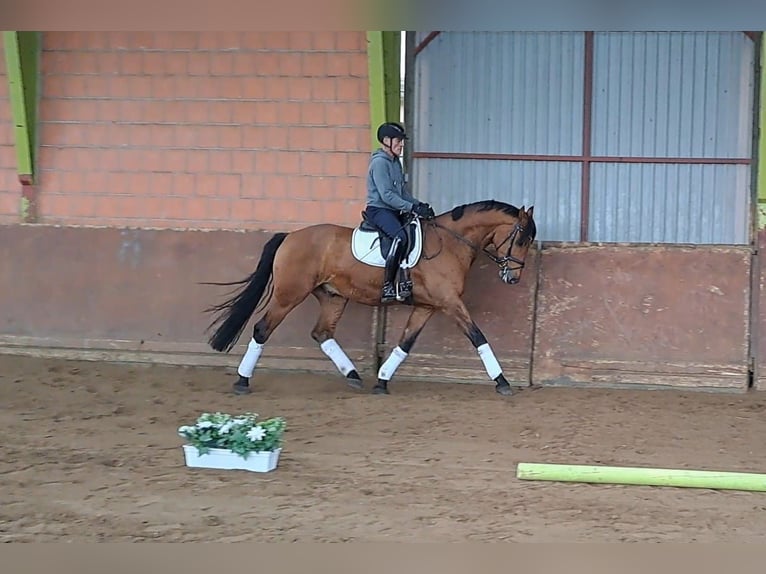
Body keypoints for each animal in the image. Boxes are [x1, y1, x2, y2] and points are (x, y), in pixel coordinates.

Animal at [204, 200, 540, 398]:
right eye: (522, 239)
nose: (513, 278)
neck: (449, 242)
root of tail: (290, 236)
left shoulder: (427, 306)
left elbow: (405, 343)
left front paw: (382, 380)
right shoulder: (449, 303)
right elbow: (479, 337)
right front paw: (503, 382)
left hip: (333, 297)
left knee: (322, 333)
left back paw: (353, 376)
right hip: (289, 295)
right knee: (262, 329)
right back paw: (242, 381)